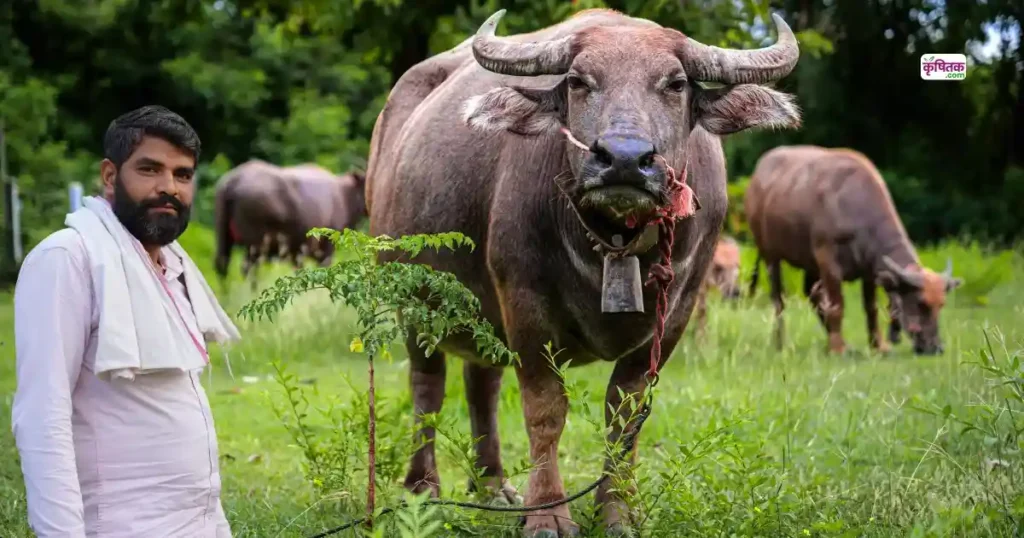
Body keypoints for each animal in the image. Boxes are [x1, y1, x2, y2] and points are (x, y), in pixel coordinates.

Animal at [213, 159, 366, 287]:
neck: (344, 195)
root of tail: (234, 181)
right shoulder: (326, 247)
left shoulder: (297, 252)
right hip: (256, 244)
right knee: (248, 268)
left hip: (224, 235)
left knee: (222, 265)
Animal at [365, 8, 801, 536]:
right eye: (578, 81)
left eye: (676, 83)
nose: (625, 159)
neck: (616, 246)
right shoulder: (525, 307)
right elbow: (546, 411)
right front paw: (548, 512)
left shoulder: (675, 316)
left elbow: (625, 417)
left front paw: (616, 513)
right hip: (411, 298)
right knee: (427, 386)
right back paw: (424, 489)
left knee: (481, 382)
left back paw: (494, 486)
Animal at [745, 145, 962, 355]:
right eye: (920, 303)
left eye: (941, 304)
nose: (936, 348)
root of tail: (758, 174)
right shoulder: (828, 263)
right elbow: (837, 306)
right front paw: (837, 349)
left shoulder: (869, 270)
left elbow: (871, 308)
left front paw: (877, 345)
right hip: (770, 255)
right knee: (779, 300)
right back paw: (782, 343)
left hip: (810, 264)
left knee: (812, 294)